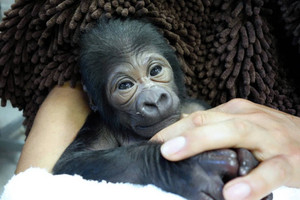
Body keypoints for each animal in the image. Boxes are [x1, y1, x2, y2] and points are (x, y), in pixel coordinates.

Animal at [53, 18, 272, 200]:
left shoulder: (198, 106)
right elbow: (71, 163)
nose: (154, 99)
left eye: (155, 70)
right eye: (125, 86)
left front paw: (247, 158)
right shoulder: (98, 123)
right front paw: (181, 168)